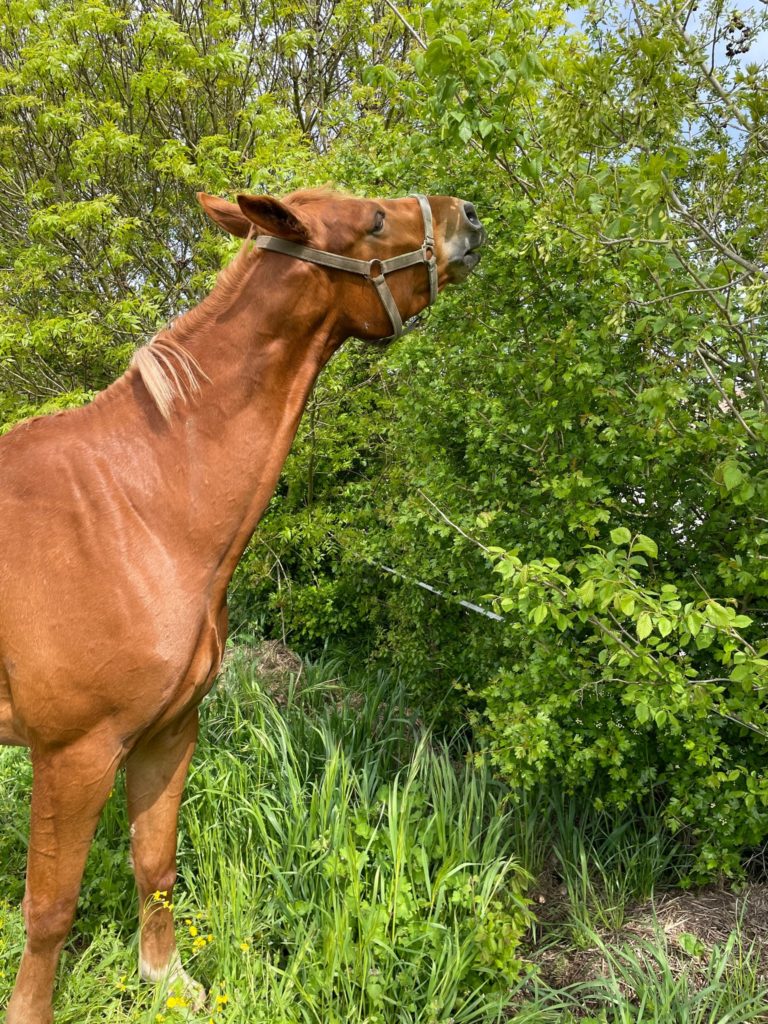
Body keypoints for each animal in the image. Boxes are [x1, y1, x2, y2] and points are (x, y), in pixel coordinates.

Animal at [0, 188, 483, 1019]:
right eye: (373, 221)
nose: (467, 217)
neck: (135, 508)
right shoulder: (73, 754)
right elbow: (50, 909)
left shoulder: (168, 733)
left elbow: (155, 864)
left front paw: (167, 981)